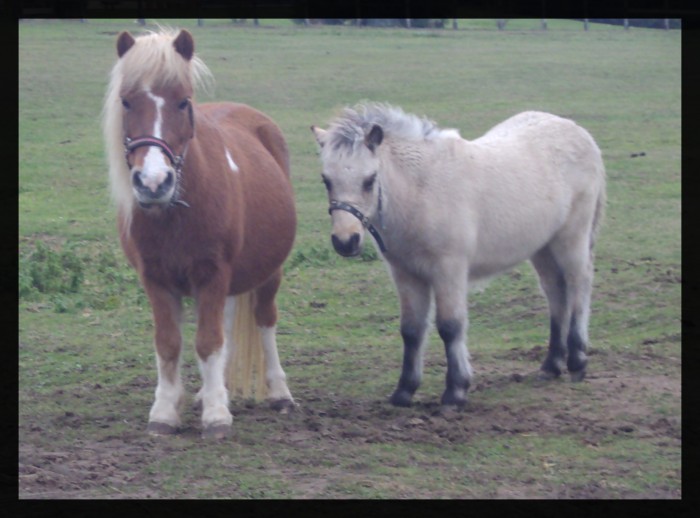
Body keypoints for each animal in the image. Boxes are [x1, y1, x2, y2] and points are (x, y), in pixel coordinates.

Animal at [102, 28, 296, 440]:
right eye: (126, 101)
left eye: (183, 102)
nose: (153, 183)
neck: (174, 213)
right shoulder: (156, 279)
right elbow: (169, 343)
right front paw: (166, 410)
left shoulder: (213, 274)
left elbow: (208, 342)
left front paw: (217, 416)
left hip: (269, 272)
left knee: (264, 319)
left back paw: (279, 393)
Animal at [308, 103, 604, 408]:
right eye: (326, 180)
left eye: (369, 180)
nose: (346, 241)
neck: (422, 191)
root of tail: (579, 133)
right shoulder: (406, 274)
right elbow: (411, 330)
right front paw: (404, 391)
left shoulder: (448, 270)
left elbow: (450, 326)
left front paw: (455, 391)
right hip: (542, 247)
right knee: (556, 292)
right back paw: (551, 366)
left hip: (571, 238)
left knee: (578, 285)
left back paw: (577, 362)